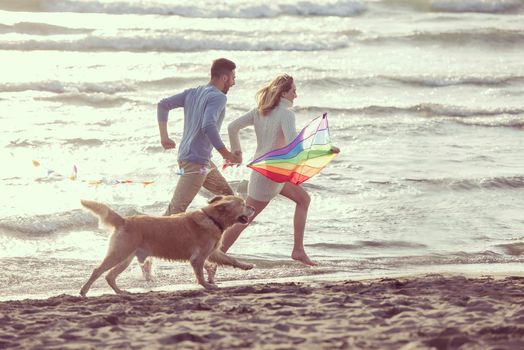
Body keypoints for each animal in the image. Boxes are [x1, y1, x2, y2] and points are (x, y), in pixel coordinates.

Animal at [78, 196, 256, 296]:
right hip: (118, 254)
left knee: (110, 276)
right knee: (97, 271)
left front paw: (246, 266)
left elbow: (231, 259)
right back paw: (84, 291)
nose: (253, 207)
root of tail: (124, 220)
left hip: (125, 259)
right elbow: (200, 275)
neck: (212, 218)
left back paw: (120, 292)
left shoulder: (212, 253)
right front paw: (207, 286)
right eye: (243, 204)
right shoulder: (198, 258)